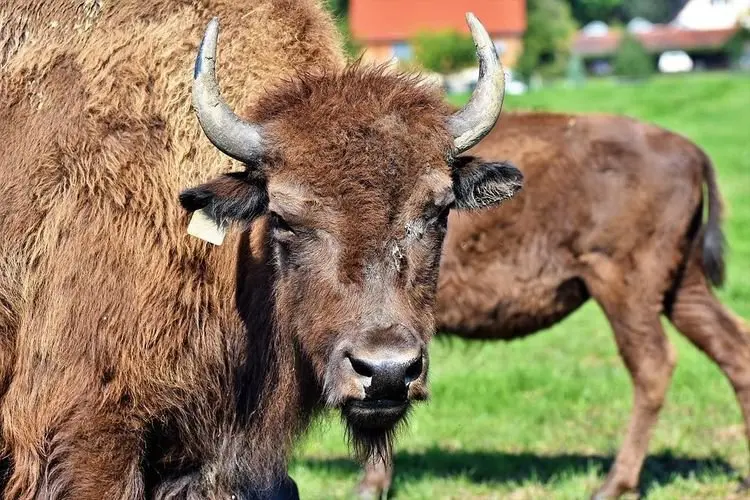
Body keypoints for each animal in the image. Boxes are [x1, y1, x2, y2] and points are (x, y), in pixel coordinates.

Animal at [357, 111, 748, 499]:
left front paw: (371, 485)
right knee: (732, 348)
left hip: (625, 287)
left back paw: (613, 485)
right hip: (683, 286)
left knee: (653, 364)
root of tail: (692, 152)